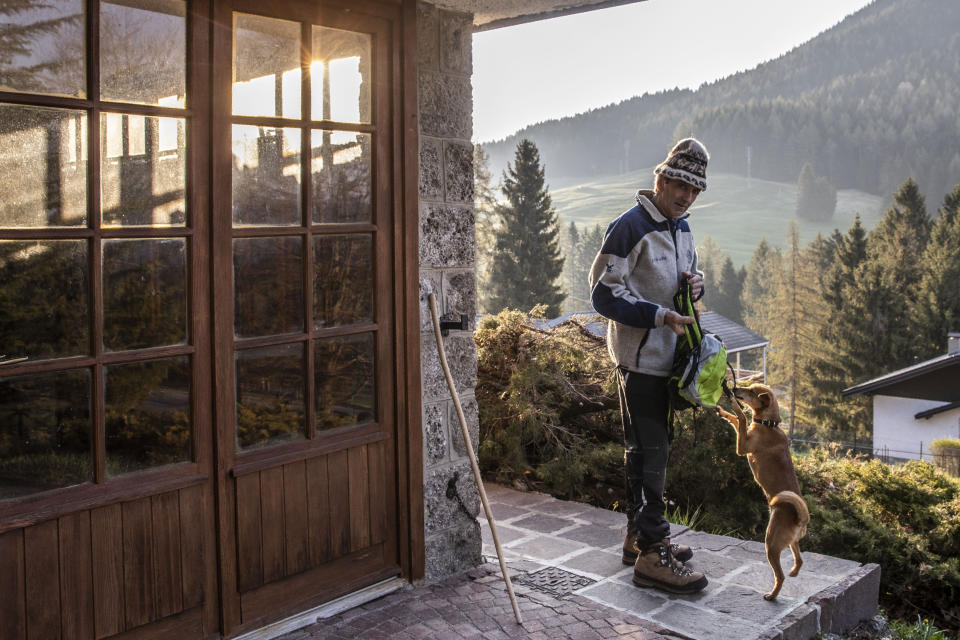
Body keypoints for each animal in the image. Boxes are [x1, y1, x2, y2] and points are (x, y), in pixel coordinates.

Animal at [720, 384, 808, 600]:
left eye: (751, 392)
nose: (734, 387)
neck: (769, 424)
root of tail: (800, 518)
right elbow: (736, 420)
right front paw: (722, 412)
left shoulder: (743, 447)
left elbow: (741, 419)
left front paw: (733, 404)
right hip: (791, 542)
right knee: (799, 559)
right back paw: (794, 572)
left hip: (771, 543)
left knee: (780, 576)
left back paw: (772, 595)